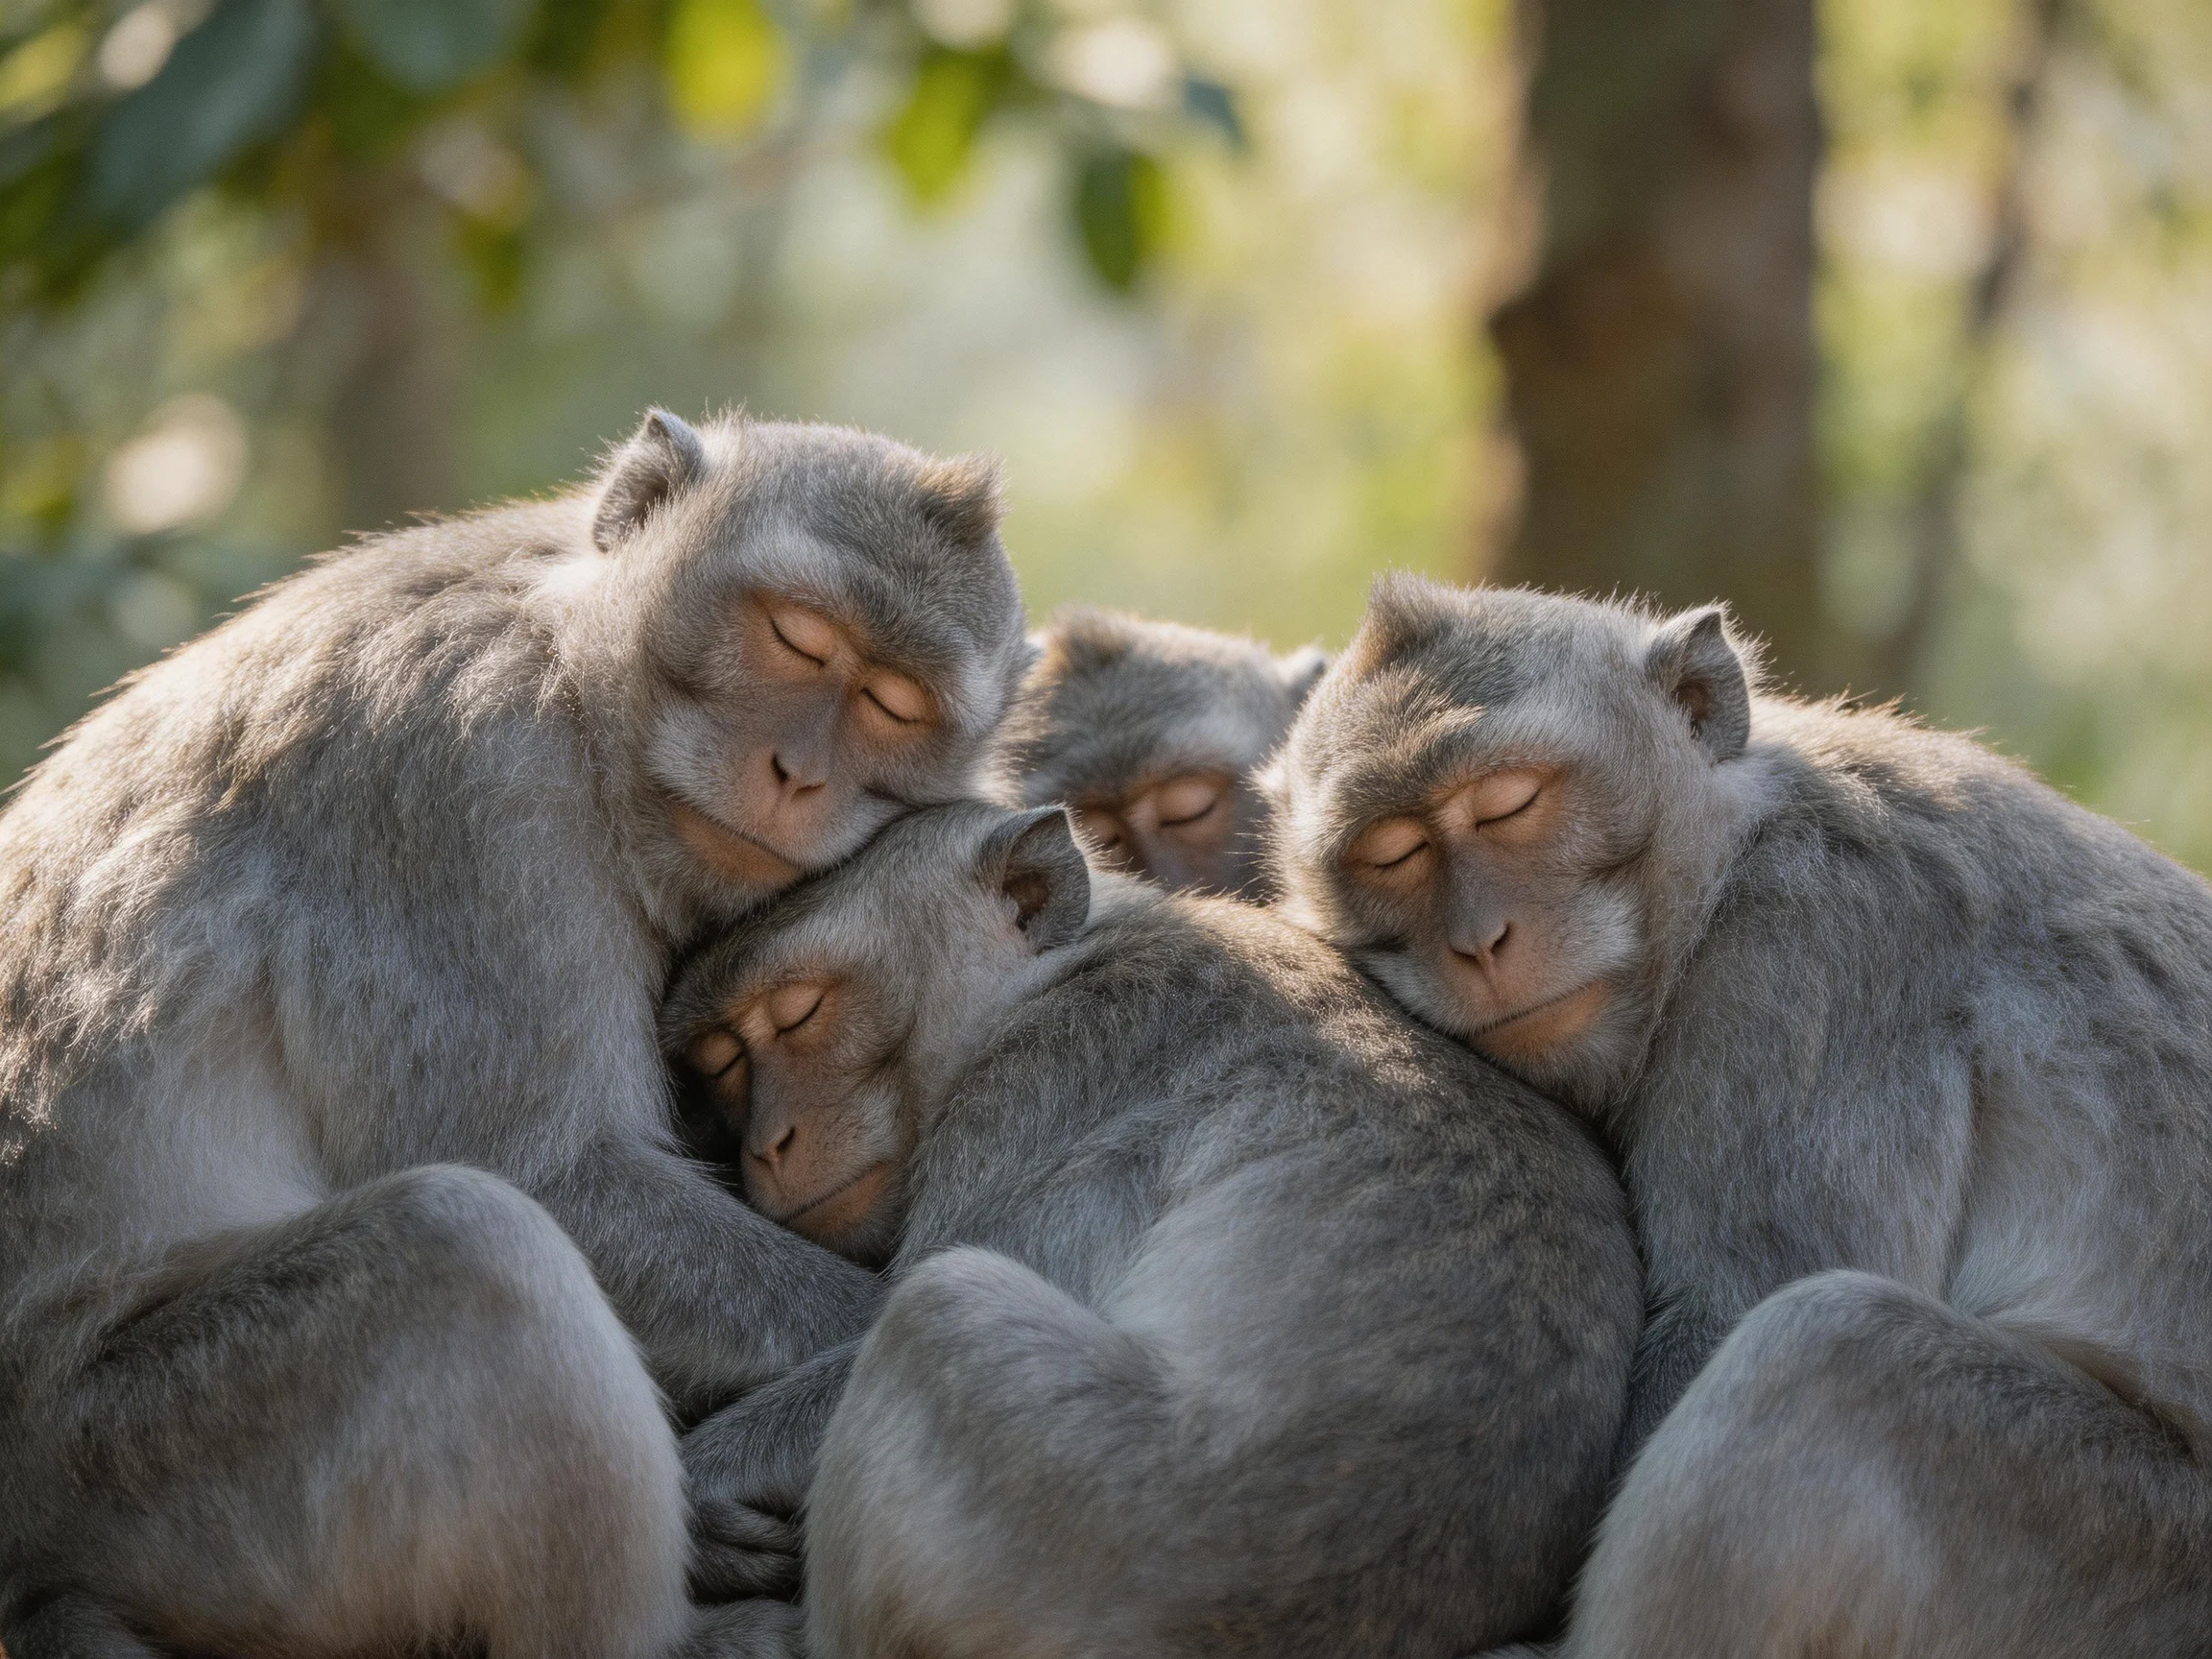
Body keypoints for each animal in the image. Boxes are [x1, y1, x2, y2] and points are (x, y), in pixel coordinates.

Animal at [0, 411, 1029, 1659]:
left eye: (894, 704)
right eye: (796, 638)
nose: (798, 773)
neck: (570, 676)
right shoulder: (456, 772)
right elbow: (545, 1172)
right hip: (134, 1463)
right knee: (471, 1245)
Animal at [659, 798, 1643, 1659]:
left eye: (799, 1013)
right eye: (724, 1061)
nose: (767, 1145)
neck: (1066, 967)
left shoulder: (1036, 1088)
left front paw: (698, 1487)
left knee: (944, 1311)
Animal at [1265, 574, 2212, 1658]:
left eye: (1510, 804)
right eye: (1394, 853)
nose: (1480, 940)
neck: (1729, 856)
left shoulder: (1811, 953)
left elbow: (1732, 1307)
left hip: (2125, 1562)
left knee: (1829, 1350)